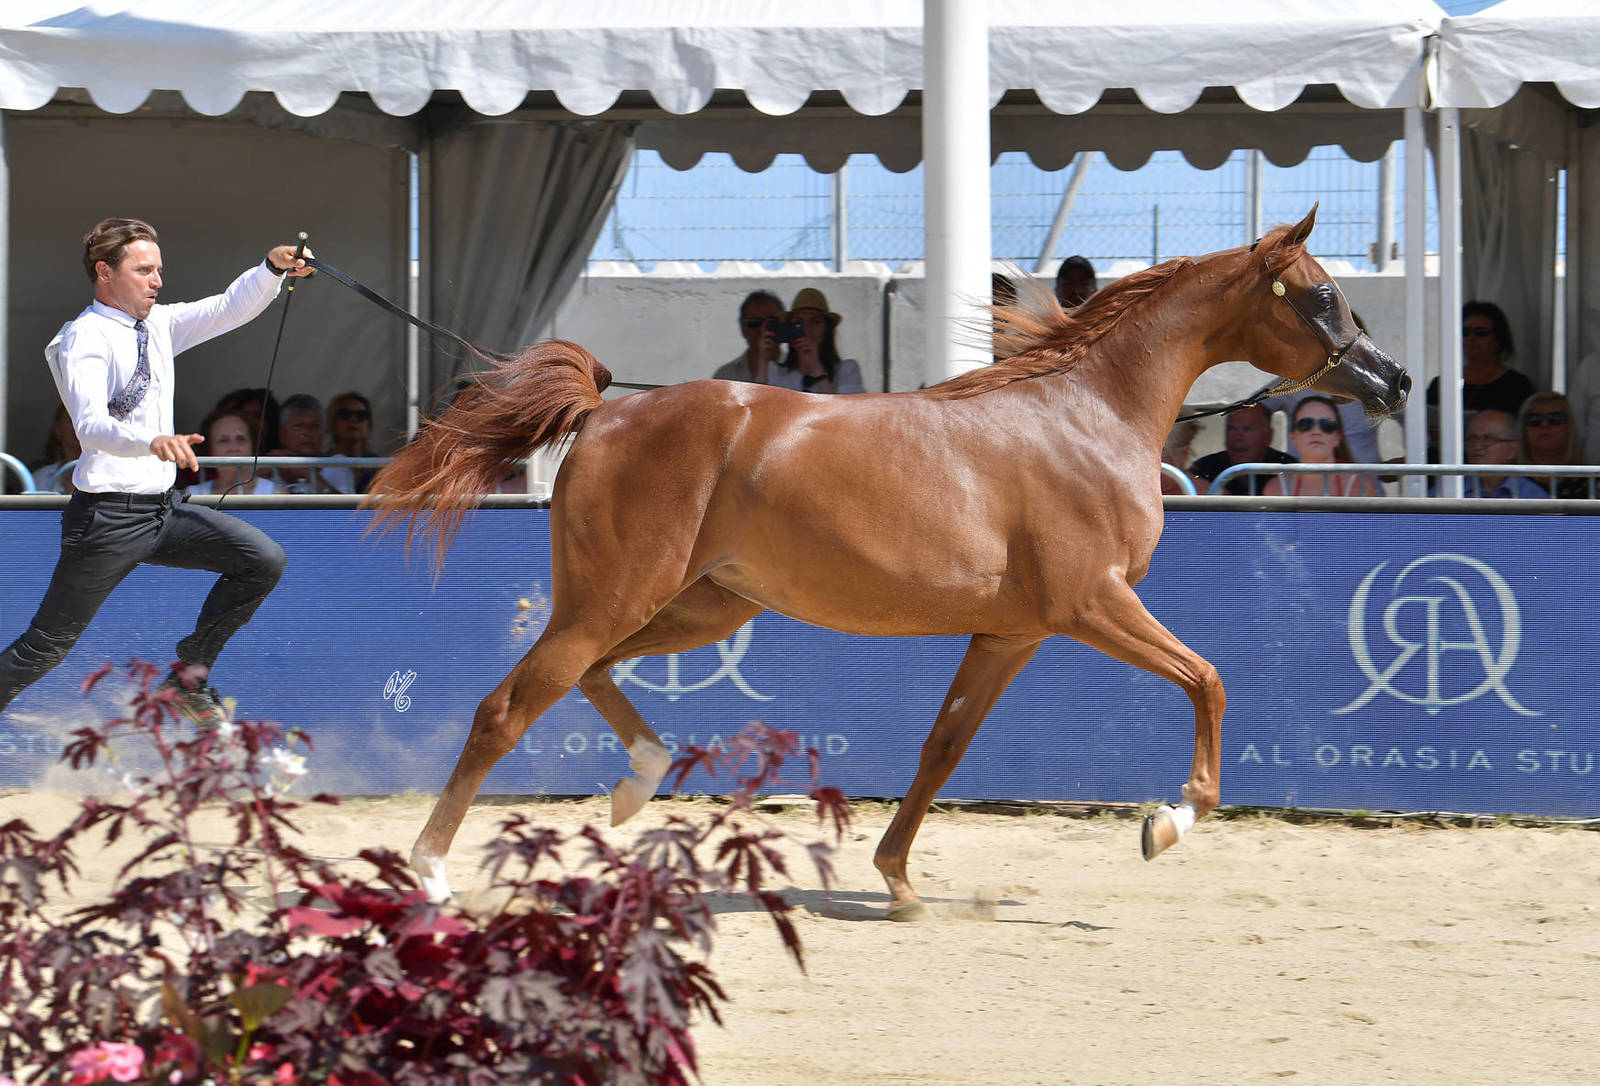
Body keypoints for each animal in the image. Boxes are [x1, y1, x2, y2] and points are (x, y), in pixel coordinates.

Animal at [365, 207, 1409, 920]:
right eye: (1322, 294)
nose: (1392, 381)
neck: (1087, 415)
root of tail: (605, 412)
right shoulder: (1091, 604)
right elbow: (1209, 679)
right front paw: (1169, 820)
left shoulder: (1013, 633)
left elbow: (943, 747)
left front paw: (898, 880)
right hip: (619, 598)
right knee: (510, 706)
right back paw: (431, 872)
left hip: (703, 607)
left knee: (587, 676)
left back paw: (638, 782)